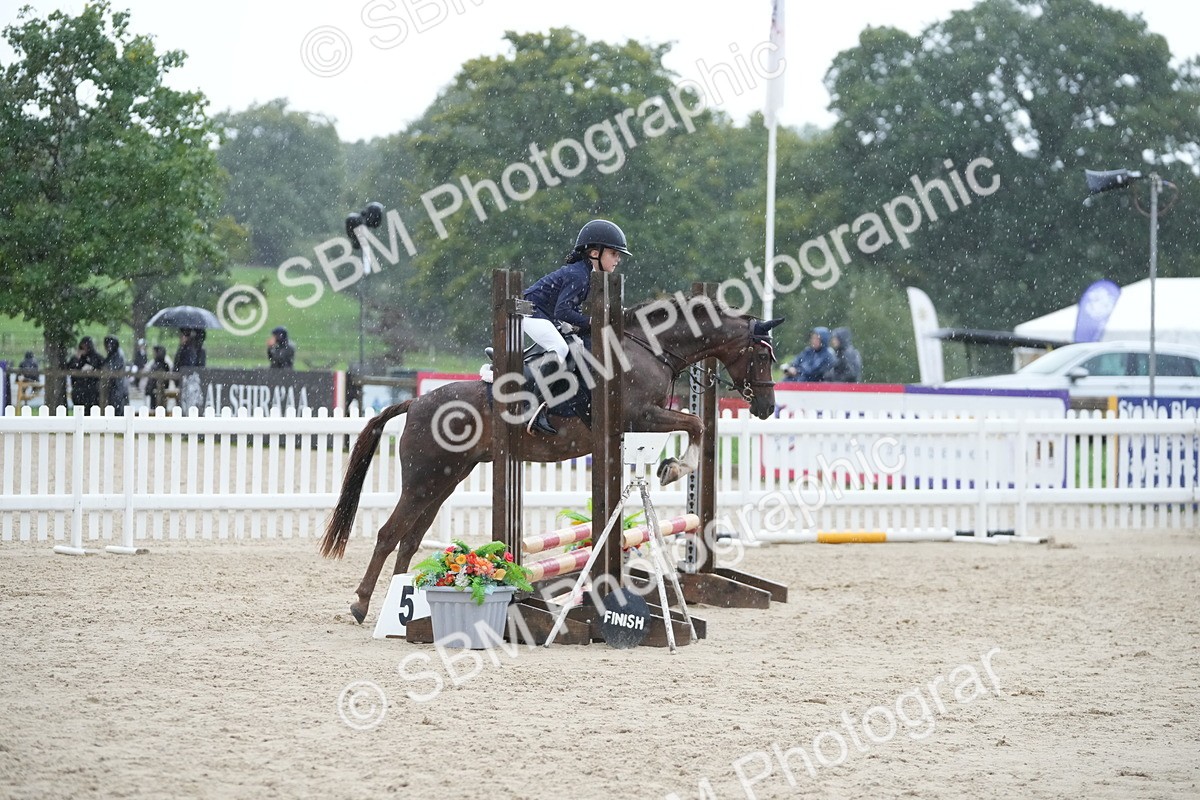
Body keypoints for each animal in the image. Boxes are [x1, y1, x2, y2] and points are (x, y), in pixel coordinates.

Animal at [320, 294, 783, 623]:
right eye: (762, 356)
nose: (765, 408)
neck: (649, 349)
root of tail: (415, 402)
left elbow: (694, 424)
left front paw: (672, 467)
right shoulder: (639, 414)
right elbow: (696, 423)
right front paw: (674, 469)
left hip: (446, 479)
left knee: (410, 539)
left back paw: (406, 601)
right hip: (424, 479)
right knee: (388, 534)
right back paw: (361, 605)